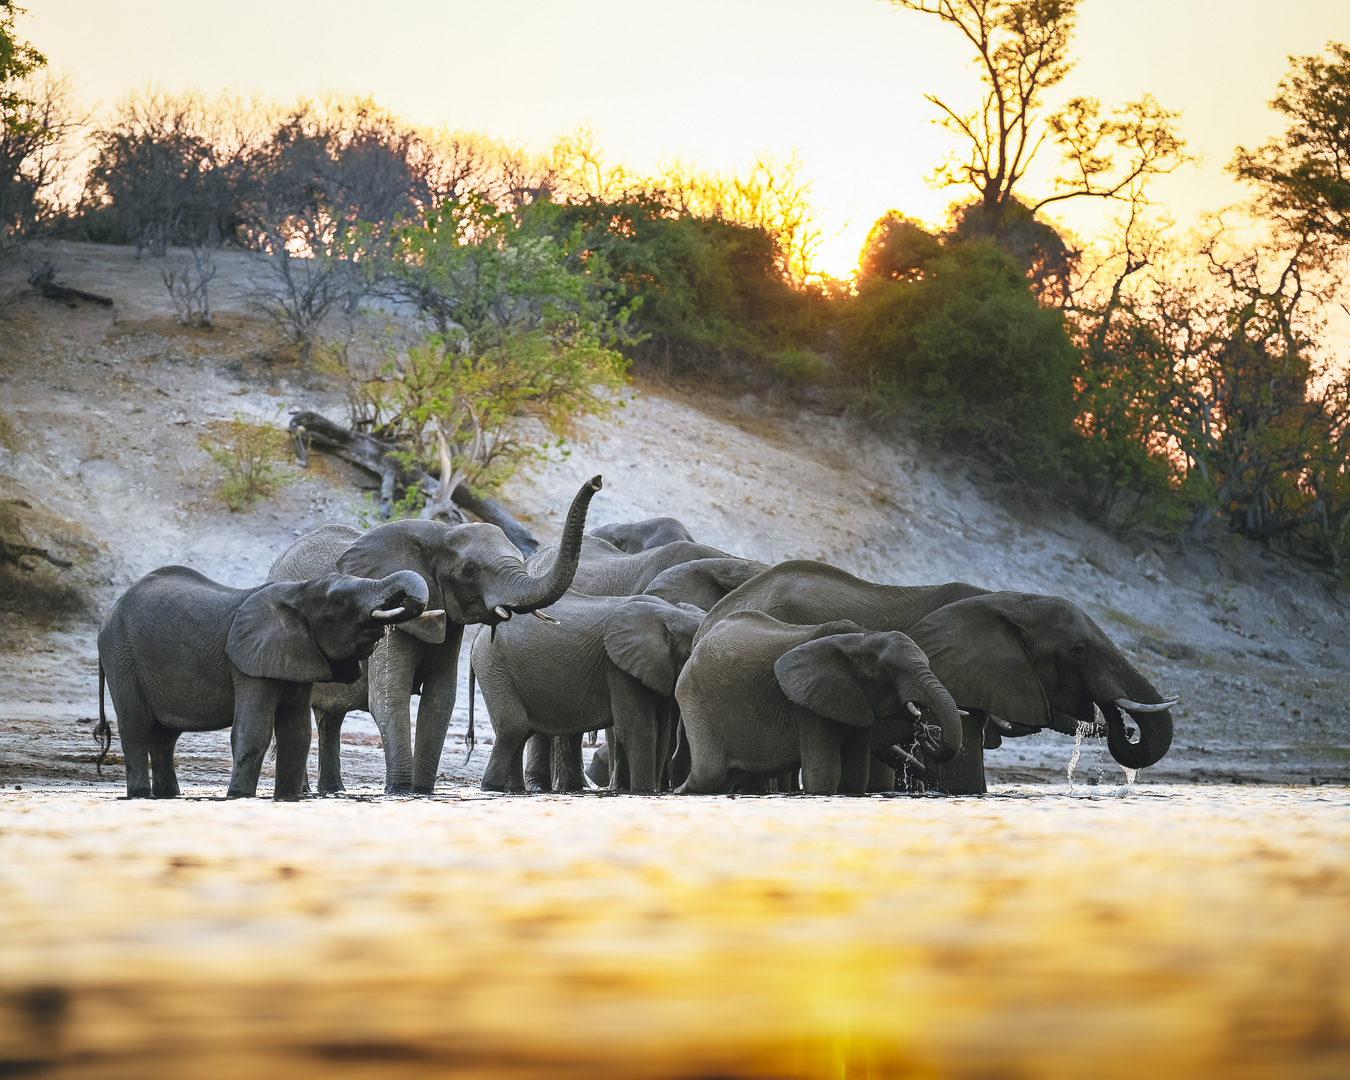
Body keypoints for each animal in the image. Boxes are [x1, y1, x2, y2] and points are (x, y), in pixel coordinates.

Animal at [95, 564, 429, 799]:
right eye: (340, 601)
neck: (298, 592)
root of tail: (107, 616)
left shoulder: (298, 655)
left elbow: (297, 734)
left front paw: (287, 799)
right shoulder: (249, 663)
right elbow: (253, 731)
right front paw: (239, 797)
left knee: (165, 737)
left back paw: (168, 797)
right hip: (121, 654)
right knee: (136, 726)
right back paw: (140, 795)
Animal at [267, 472, 602, 793]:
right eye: (470, 571)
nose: (597, 481)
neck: (439, 533)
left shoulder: (450, 622)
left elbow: (440, 700)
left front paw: (423, 792)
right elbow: (390, 696)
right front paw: (400, 791)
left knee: (329, 719)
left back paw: (331, 791)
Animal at [469, 591, 702, 793]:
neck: (672, 613)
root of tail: (480, 630)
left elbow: (662, 731)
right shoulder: (618, 666)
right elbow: (639, 728)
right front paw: (643, 792)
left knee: (522, 731)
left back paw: (513, 790)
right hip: (494, 667)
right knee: (513, 728)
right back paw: (491, 788)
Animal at [675, 612, 961, 799]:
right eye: (886, 671)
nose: (926, 733)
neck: (861, 637)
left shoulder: (855, 699)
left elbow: (856, 775)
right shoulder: (809, 704)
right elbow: (824, 773)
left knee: (728, 775)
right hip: (695, 697)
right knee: (710, 772)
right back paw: (680, 791)